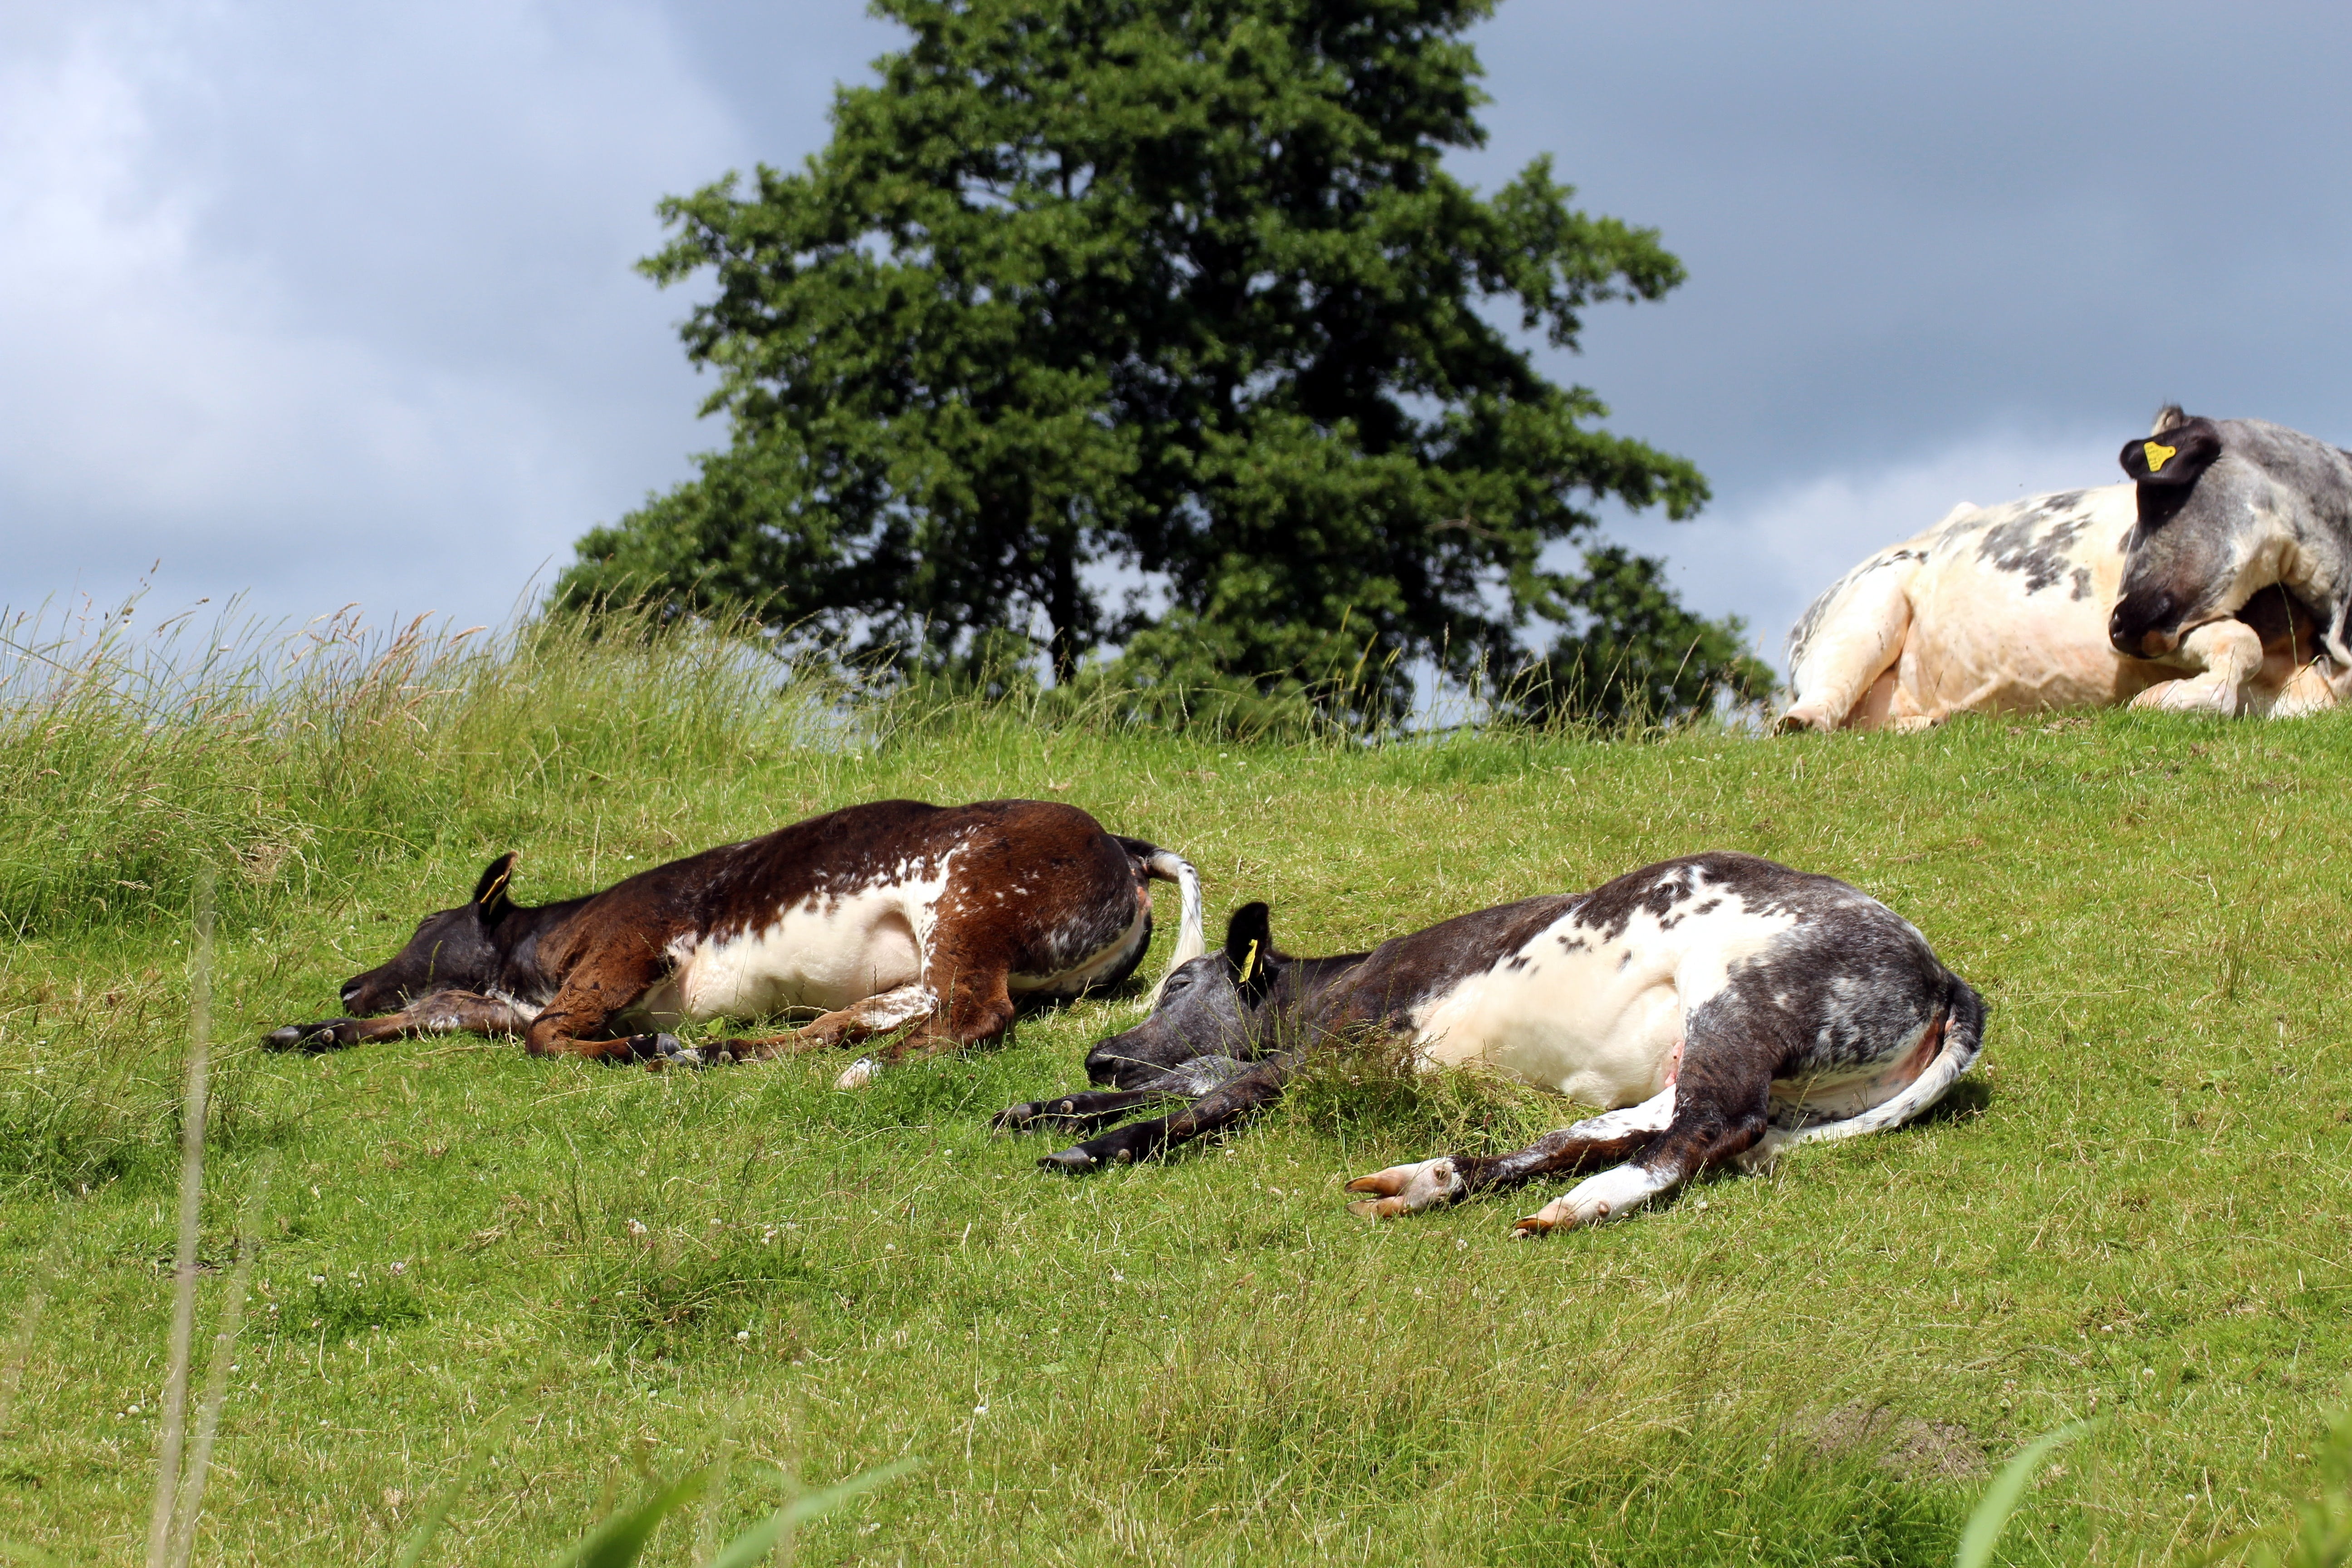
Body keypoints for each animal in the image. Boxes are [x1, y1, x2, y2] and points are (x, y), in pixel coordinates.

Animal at [264, 799, 1203, 1088]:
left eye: (427, 930)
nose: (347, 983)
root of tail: (1124, 845)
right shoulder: (503, 1003)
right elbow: (437, 1016)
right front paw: (309, 1030)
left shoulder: (629, 946)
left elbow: (548, 1036)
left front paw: (640, 1048)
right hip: (938, 955)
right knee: (864, 1016)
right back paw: (730, 1051)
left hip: (970, 905)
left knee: (975, 1014)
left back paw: (866, 1071)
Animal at [993, 852, 1983, 1234]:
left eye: (1179, 984)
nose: (1099, 1051)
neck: (1334, 982)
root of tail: (1942, 971)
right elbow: (1196, 1076)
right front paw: (1050, 1106)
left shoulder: (1340, 1044)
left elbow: (1215, 1091)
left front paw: (1098, 1142)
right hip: (1721, 1059)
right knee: (1623, 1127)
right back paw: (1432, 1179)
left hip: (1740, 1002)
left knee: (1706, 1129)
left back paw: (1579, 1205)